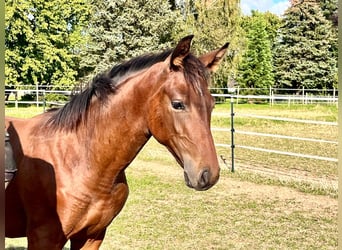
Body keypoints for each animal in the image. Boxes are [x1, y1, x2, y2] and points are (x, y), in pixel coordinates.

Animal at [4, 35, 227, 250]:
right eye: (178, 104)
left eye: (212, 105)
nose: (208, 174)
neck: (78, 158)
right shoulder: (44, 239)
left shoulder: (92, 236)